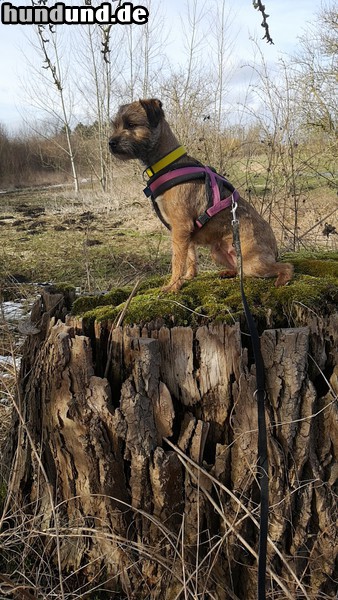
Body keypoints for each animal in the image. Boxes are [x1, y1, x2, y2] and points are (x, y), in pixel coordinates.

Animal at [109, 99, 294, 292]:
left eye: (131, 124)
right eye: (115, 125)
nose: (110, 143)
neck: (168, 164)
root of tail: (274, 248)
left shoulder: (180, 227)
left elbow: (177, 260)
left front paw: (173, 286)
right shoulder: (184, 232)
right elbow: (190, 256)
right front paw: (188, 277)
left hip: (252, 262)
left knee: (286, 267)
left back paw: (282, 280)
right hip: (217, 253)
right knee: (239, 270)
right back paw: (228, 272)